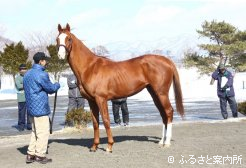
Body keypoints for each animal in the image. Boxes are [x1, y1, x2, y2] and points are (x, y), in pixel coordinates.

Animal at [56, 23, 184, 152]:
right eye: (57, 39)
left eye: (69, 38)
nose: (60, 56)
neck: (89, 67)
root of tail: (167, 61)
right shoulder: (91, 101)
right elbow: (95, 122)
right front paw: (94, 146)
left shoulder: (101, 99)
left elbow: (106, 120)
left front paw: (109, 146)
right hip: (154, 94)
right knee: (163, 114)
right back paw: (161, 141)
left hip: (162, 93)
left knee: (168, 111)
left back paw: (167, 142)